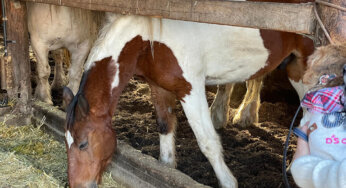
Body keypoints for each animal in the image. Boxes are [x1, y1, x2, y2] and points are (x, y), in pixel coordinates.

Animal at [62, 11, 314, 187]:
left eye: (83, 144)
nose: (79, 185)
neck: (151, 40)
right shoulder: (159, 87)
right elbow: (164, 128)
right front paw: (166, 170)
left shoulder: (190, 90)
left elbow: (207, 142)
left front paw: (228, 182)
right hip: (294, 67)